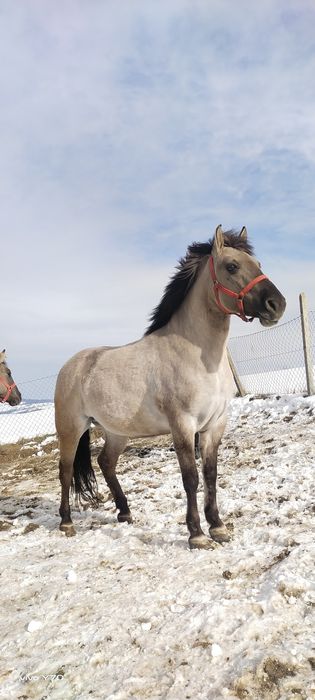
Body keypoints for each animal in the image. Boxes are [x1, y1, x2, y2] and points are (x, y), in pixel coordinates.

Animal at [55, 227, 288, 548]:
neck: (198, 355)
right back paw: (66, 523)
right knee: (65, 470)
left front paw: (218, 527)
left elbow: (210, 474)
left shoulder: (215, 424)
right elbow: (190, 478)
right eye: (231, 266)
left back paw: (125, 513)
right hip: (71, 428)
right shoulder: (183, 425)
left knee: (106, 463)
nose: (276, 305)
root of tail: (71, 365)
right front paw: (197, 534)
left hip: (117, 432)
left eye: (259, 264)